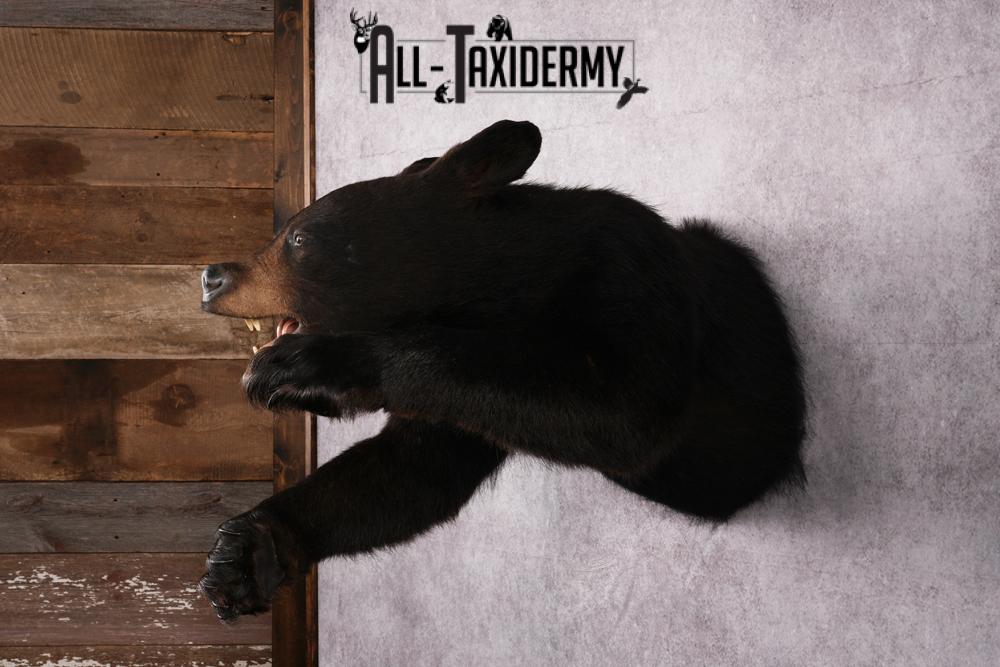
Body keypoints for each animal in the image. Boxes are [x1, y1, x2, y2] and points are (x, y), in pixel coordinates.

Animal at [198, 120, 806, 622]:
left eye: (298, 237)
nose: (211, 275)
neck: (503, 291)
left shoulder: (630, 270)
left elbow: (627, 412)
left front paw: (310, 365)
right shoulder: (461, 404)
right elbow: (413, 469)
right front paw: (249, 553)